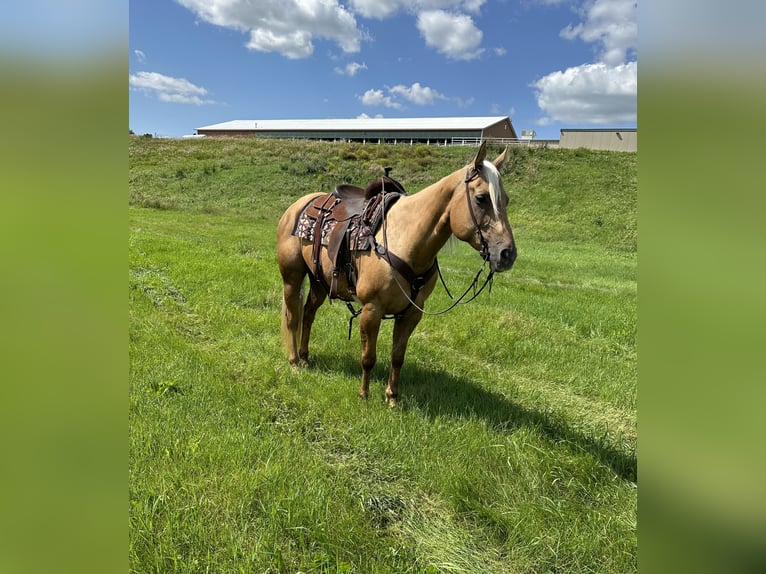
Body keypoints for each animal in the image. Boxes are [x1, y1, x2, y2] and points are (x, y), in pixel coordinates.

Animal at [280, 142, 520, 408]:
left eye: (506, 200)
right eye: (481, 198)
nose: (507, 253)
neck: (405, 238)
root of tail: (300, 205)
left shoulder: (412, 313)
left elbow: (398, 357)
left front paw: (392, 397)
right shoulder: (372, 309)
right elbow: (368, 357)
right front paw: (364, 395)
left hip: (319, 281)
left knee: (308, 313)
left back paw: (305, 358)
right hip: (292, 278)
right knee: (293, 317)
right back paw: (294, 363)